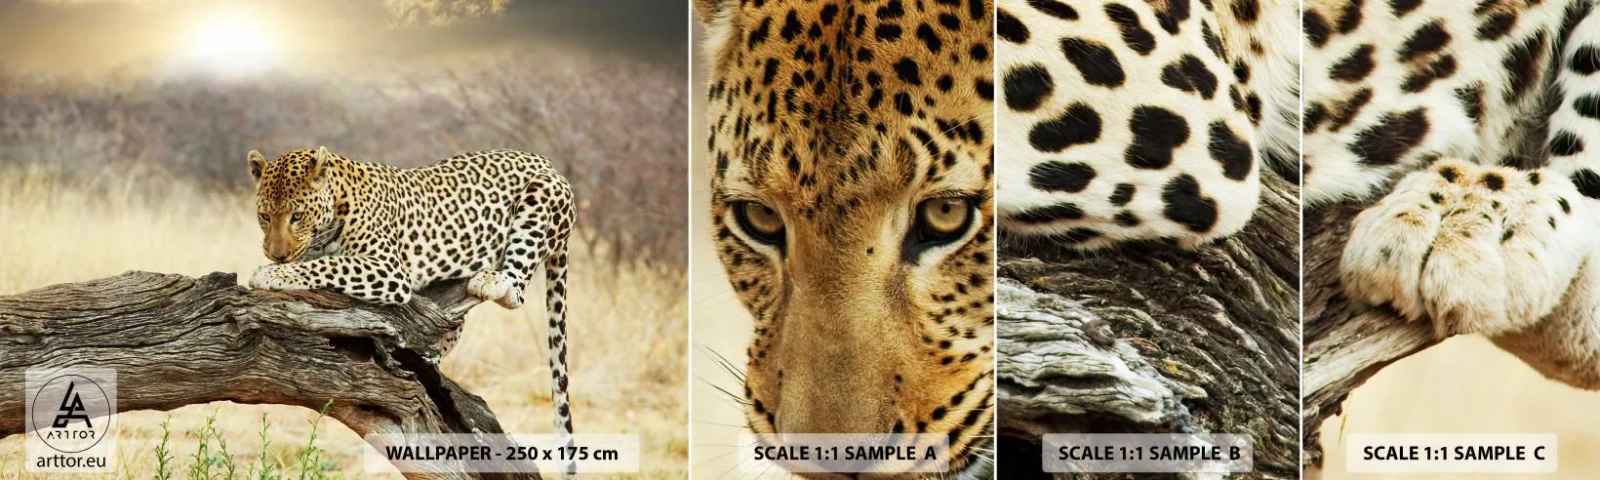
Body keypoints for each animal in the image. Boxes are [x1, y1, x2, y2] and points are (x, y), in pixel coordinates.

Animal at [244, 146, 578, 476]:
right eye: (264, 216)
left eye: (297, 216)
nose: (277, 254)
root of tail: (546, 161)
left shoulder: (388, 268)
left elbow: (329, 264)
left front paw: (271, 274)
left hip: (539, 200)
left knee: (516, 290)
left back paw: (492, 281)